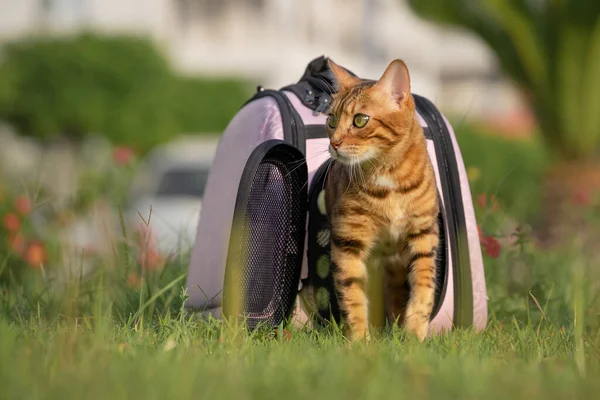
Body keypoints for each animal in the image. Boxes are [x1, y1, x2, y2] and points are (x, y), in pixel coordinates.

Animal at [326, 58, 438, 340]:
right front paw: (359, 341)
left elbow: (424, 286)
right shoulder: (348, 241)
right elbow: (352, 293)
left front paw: (414, 333)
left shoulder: (424, 234)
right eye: (331, 120)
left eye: (360, 120)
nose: (334, 143)